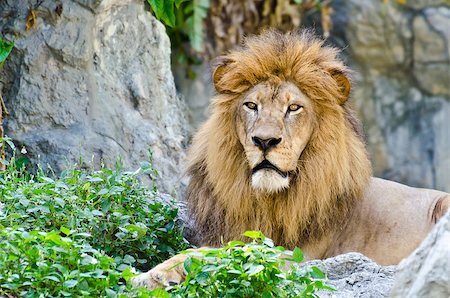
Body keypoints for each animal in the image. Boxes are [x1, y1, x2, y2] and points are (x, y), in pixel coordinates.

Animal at [131, 29, 450, 288]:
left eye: (294, 108)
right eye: (251, 105)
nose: (264, 141)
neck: (267, 200)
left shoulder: (299, 256)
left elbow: (225, 252)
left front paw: (157, 274)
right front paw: (151, 274)